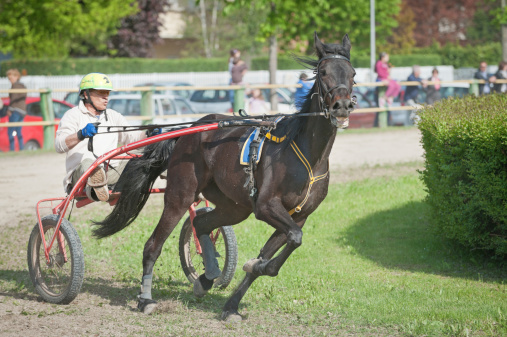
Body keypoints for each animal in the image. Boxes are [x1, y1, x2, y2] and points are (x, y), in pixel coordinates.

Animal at [95, 32, 358, 318]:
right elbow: (290, 242)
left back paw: (206, 277)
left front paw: (235, 299)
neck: (307, 155)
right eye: (323, 72)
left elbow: (281, 248)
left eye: (352, 73)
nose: (342, 105)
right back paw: (146, 299)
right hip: (180, 195)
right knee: (153, 245)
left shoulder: (298, 216)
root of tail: (190, 129)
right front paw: (254, 267)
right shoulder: (266, 206)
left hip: (234, 206)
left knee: (201, 224)